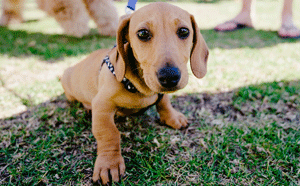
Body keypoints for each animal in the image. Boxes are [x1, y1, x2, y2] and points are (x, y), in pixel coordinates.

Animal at [59, 1, 207, 185]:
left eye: (184, 31)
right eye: (143, 33)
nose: (169, 77)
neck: (140, 88)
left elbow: (164, 101)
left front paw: (172, 116)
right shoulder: (102, 104)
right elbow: (109, 132)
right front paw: (109, 163)